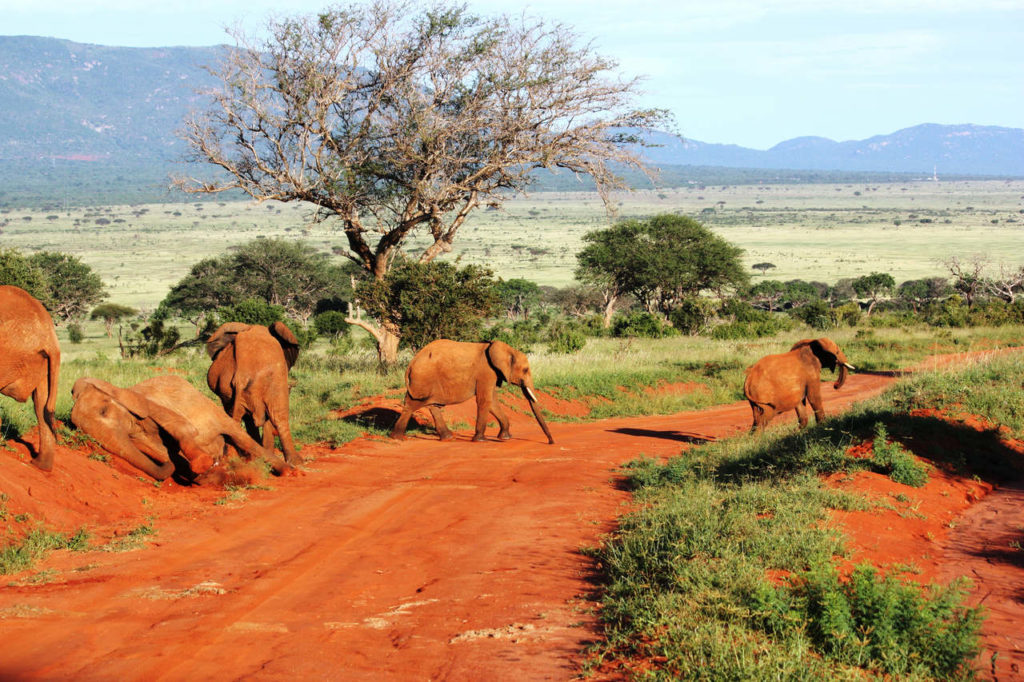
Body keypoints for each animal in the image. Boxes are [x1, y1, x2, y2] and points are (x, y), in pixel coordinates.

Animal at [71, 374, 292, 481]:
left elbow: (183, 427)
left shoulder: (148, 404)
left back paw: (289, 472)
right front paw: (207, 472)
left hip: (207, 405)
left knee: (239, 436)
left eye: (103, 411)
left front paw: (202, 464)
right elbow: (161, 451)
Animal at [389, 337, 552, 444]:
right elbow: (485, 400)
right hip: (423, 379)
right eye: (525, 370)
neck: (506, 349)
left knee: (431, 405)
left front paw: (505, 437)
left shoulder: (492, 374)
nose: (551, 442)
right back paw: (398, 438)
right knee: (413, 404)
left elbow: (492, 401)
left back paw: (447, 438)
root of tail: (411, 364)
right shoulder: (486, 372)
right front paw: (480, 440)